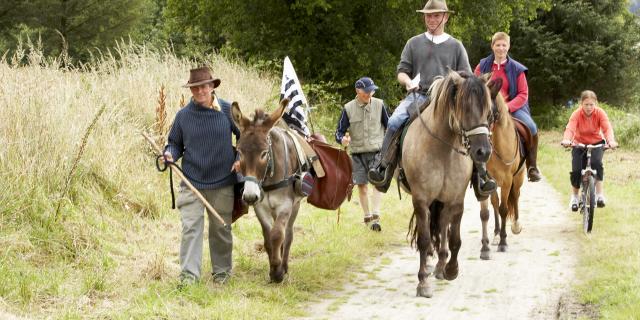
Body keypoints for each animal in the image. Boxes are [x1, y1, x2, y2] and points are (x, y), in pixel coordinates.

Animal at [231, 99, 304, 282]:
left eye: (264, 153)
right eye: (239, 152)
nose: (250, 196)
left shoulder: (285, 205)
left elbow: (277, 234)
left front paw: (278, 272)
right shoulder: (261, 207)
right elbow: (268, 237)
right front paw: (272, 270)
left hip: (295, 205)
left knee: (288, 234)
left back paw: (285, 266)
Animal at [400, 70, 500, 298]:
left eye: (489, 113)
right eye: (464, 108)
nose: (483, 152)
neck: (442, 149)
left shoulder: (456, 199)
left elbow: (454, 238)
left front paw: (451, 269)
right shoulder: (421, 200)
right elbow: (424, 239)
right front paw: (423, 283)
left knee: (443, 226)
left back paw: (440, 265)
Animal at [480, 85, 524, 260]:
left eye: (490, 113)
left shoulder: (507, 181)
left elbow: (504, 209)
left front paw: (503, 243)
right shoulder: (487, 181)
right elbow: (490, 210)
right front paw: (496, 238)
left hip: (518, 179)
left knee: (516, 196)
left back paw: (516, 225)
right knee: (495, 203)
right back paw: (497, 234)